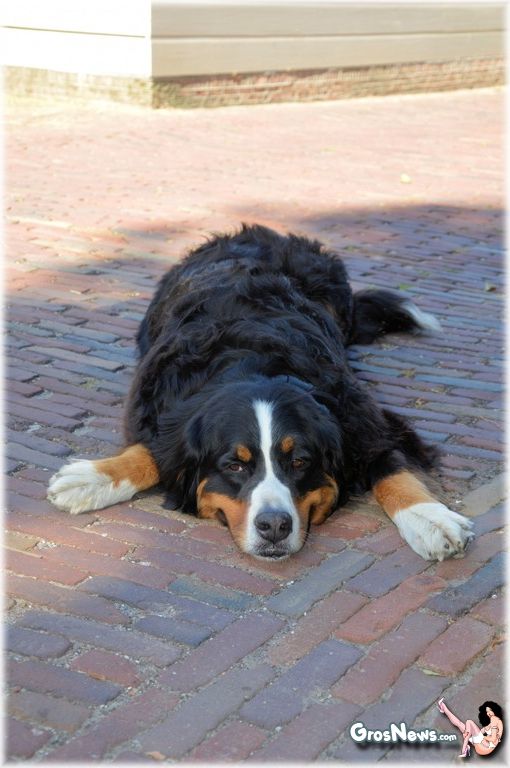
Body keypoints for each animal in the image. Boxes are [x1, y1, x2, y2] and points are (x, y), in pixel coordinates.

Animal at [48, 224, 473, 561]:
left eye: (300, 461)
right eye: (234, 466)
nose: (274, 525)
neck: (251, 361)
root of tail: (261, 232)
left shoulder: (363, 417)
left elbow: (392, 468)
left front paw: (429, 518)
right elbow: (154, 449)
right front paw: (92, 478)